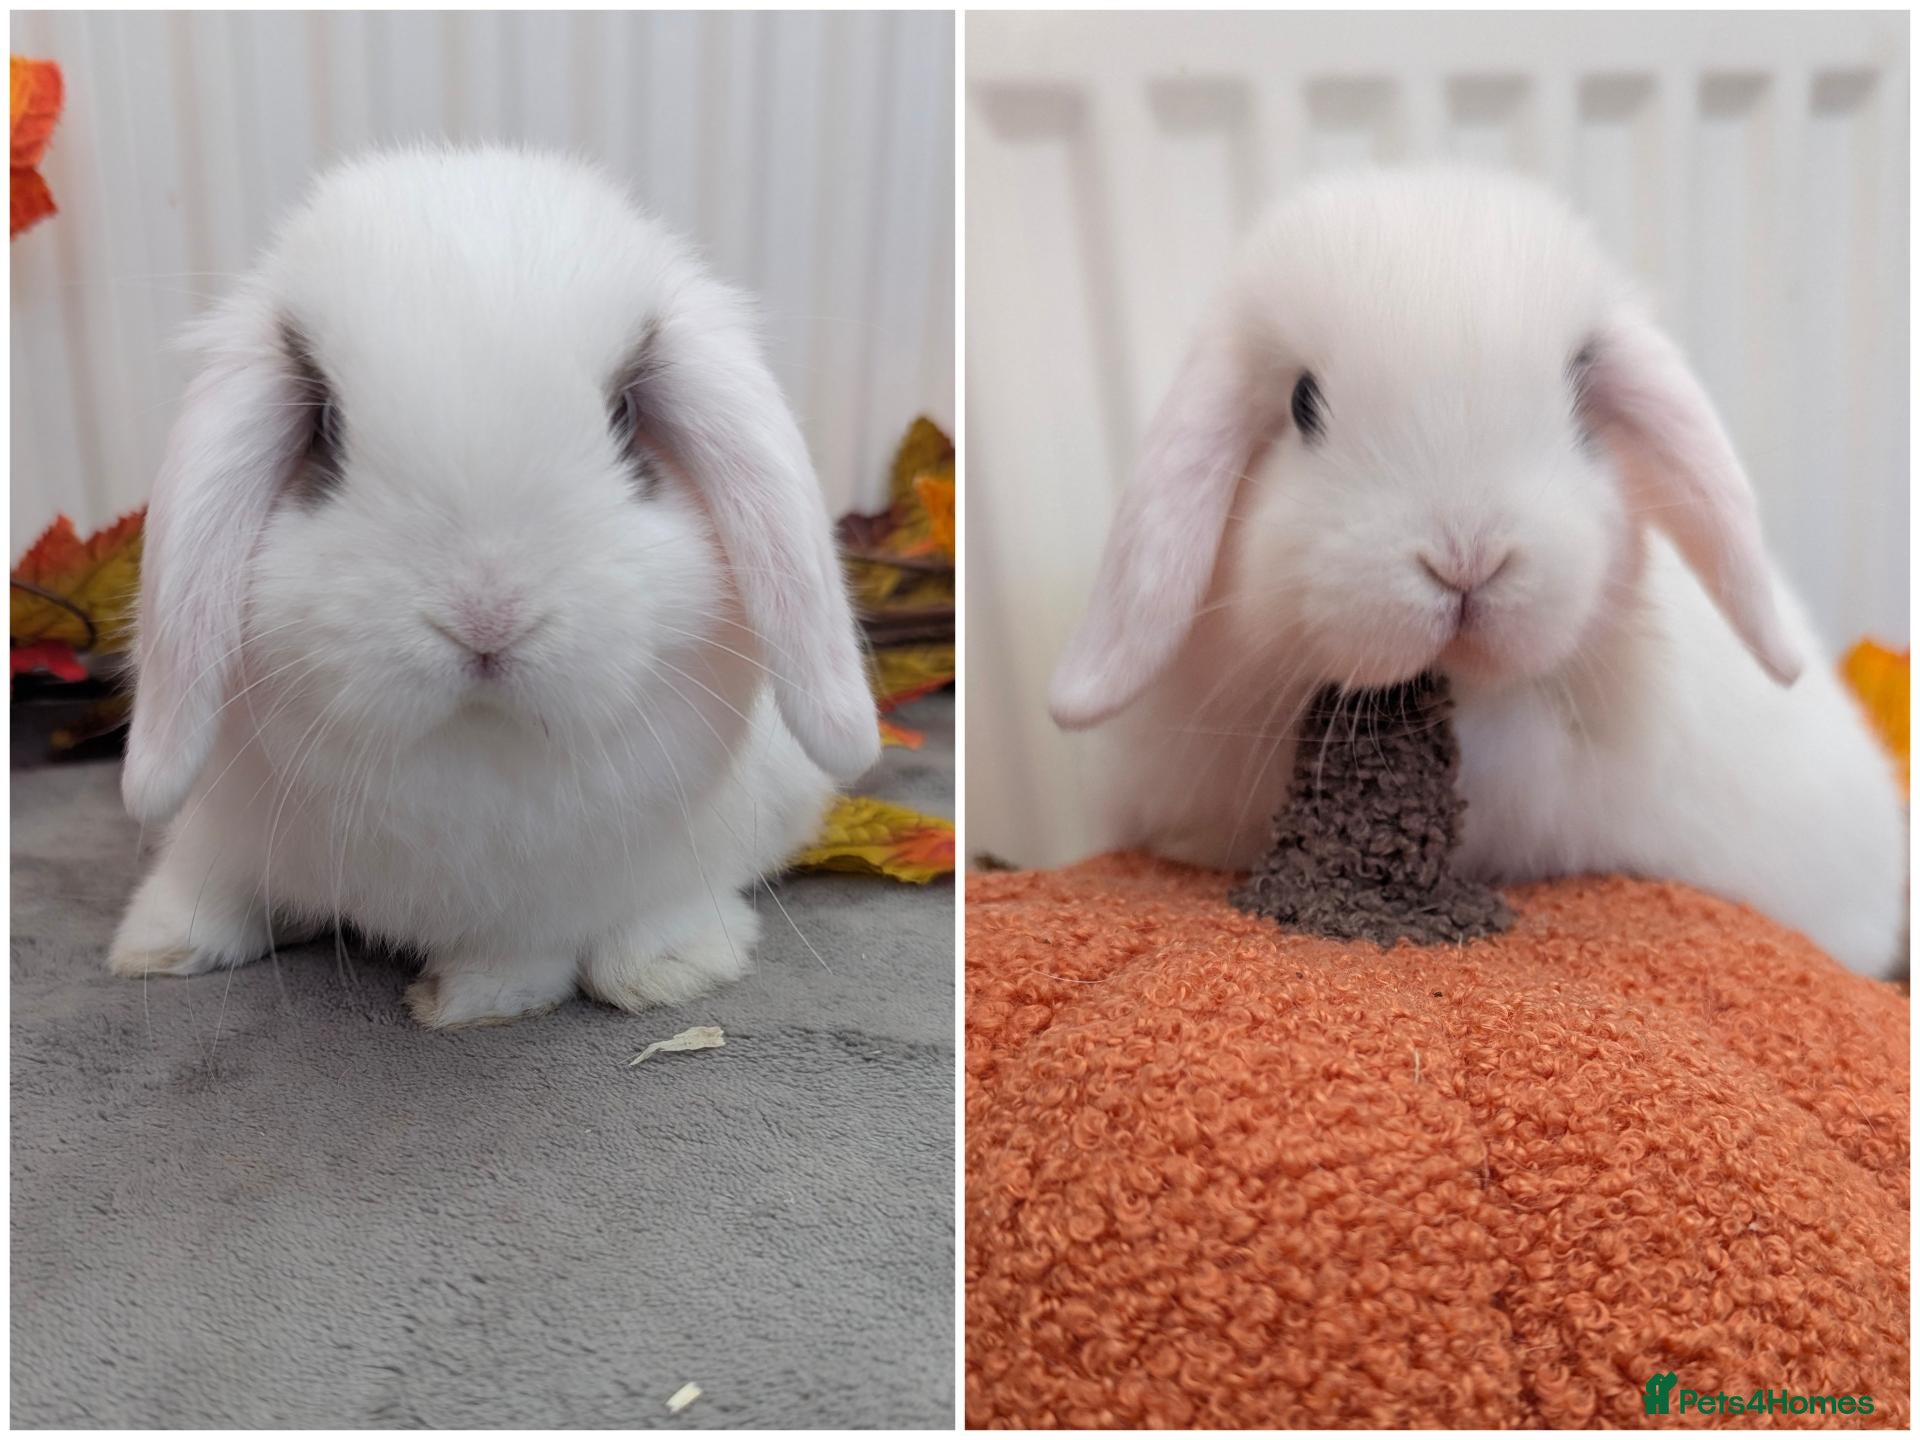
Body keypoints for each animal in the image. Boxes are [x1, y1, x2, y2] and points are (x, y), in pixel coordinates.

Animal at [107, 145, 880, 1027]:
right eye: (326, 427)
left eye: (624, 417)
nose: (486, 618)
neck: (472, 743)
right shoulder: (221, 822)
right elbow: (212, 876)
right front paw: (156, 946)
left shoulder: (550, 900)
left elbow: (524, 954)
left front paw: (465, 1002)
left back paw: (665, 966)